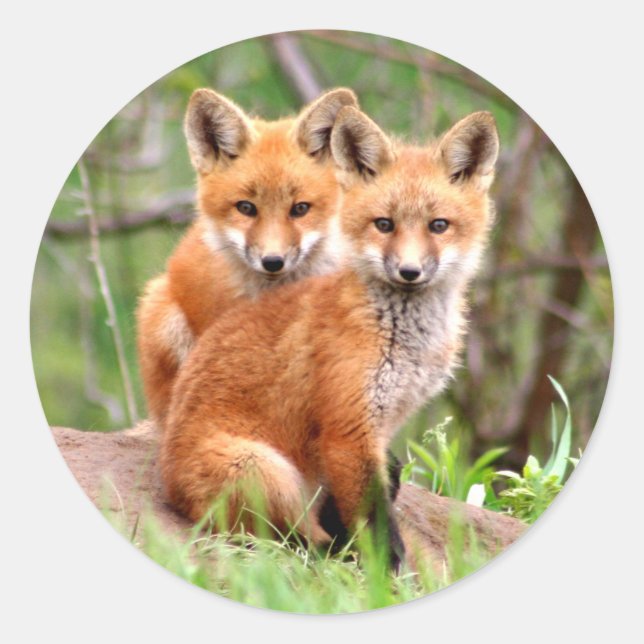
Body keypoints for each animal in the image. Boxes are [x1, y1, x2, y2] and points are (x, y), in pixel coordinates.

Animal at [160, 106, 499, 567]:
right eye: (384, 225)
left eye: (439, 225)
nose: (409, 271)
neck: (401, 339)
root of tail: (169, 488)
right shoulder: (348, 430)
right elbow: (378, 528)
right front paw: (387, 576)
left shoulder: (380, 427)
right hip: (265, 471)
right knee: (294, 543)